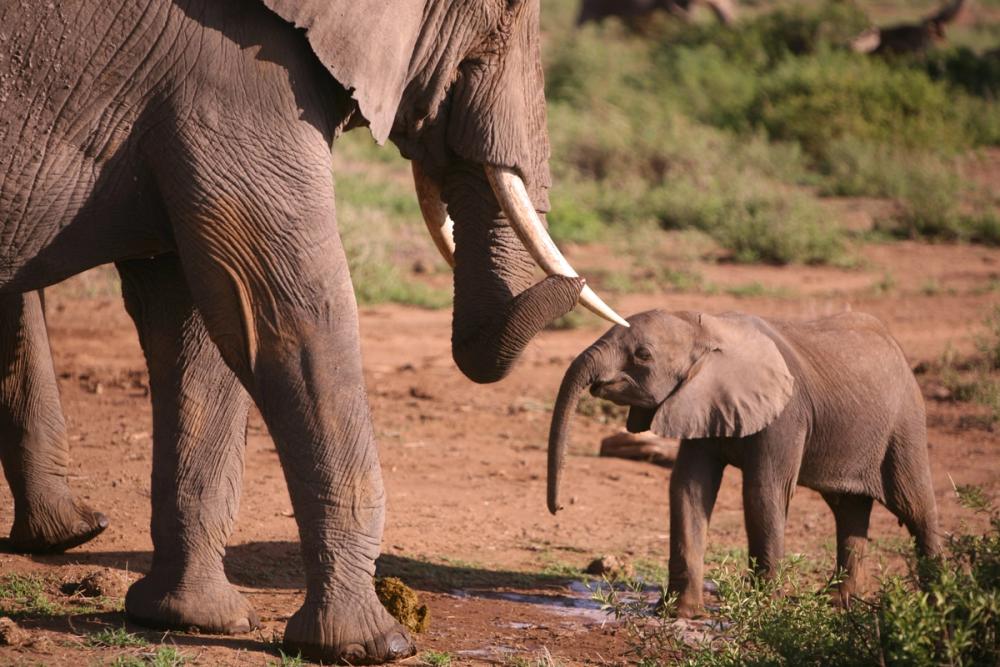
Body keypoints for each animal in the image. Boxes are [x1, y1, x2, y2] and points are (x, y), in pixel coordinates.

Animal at [0, 0, 628, 663]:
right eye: (503, 15)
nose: (576, 279)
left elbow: (195, 323)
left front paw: (194, 620)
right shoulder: (234, 79)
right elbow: (293, 314)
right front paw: (375, 645)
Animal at [547, 310, 941, 617]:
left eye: (643, 354)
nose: (559, 507)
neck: (708, 328)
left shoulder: (786, 415)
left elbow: (764, 492)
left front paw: (761, 610)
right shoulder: (699, 400)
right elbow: (689, 489)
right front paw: (679, 613)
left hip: (905, 423)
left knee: (915, 506)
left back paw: (939, 601)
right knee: (849, 510)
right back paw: (835, 603)